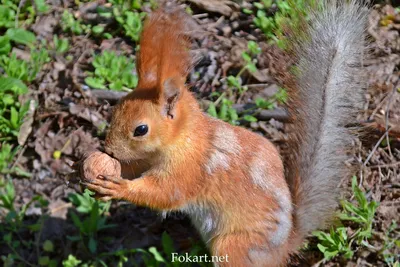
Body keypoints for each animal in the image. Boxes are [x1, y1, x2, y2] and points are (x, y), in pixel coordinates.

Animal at [79, 1, 370, 266]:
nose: (108, 149)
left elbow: (166, 194)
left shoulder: (190, 169)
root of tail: (284, 247)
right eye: (116, 108)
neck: (183, 139)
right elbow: (135, 167)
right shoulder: (149, 159)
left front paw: (118, 187)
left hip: (234, 247)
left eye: (141, 129)